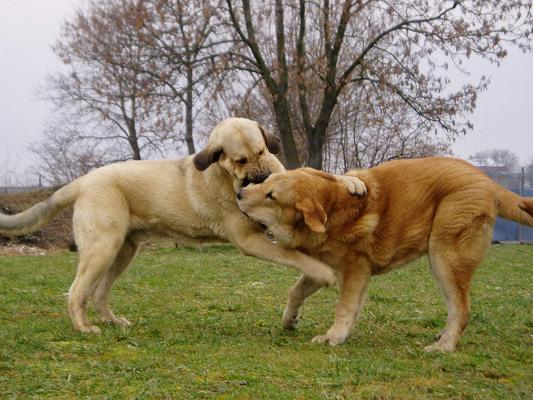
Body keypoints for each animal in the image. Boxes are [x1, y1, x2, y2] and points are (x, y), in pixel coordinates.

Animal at [0, 116, 366, 334]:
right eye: (240, 161)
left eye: (263, 150)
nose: (261, 179)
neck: (227, 177)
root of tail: (82, 181)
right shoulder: (250, 239)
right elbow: (296, 257)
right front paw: (322, 273)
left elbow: (318, 172)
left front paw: (352, 182)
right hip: (103, 247)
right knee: (77, 291)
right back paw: (84, 327)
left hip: (122, 252)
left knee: (99, 292)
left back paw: (112, 321)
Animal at [237, 158, 532, 352]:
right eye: (266, 181)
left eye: (271, 195)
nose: (239, 192)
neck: (333, 209)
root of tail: (488, 182)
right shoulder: (323, 269)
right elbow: (295, 292)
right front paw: (291, 320)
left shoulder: (355, 271)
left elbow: (344, 308)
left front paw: (334, 337)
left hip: (445, 258)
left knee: (461, 309)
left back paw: (444, 346)